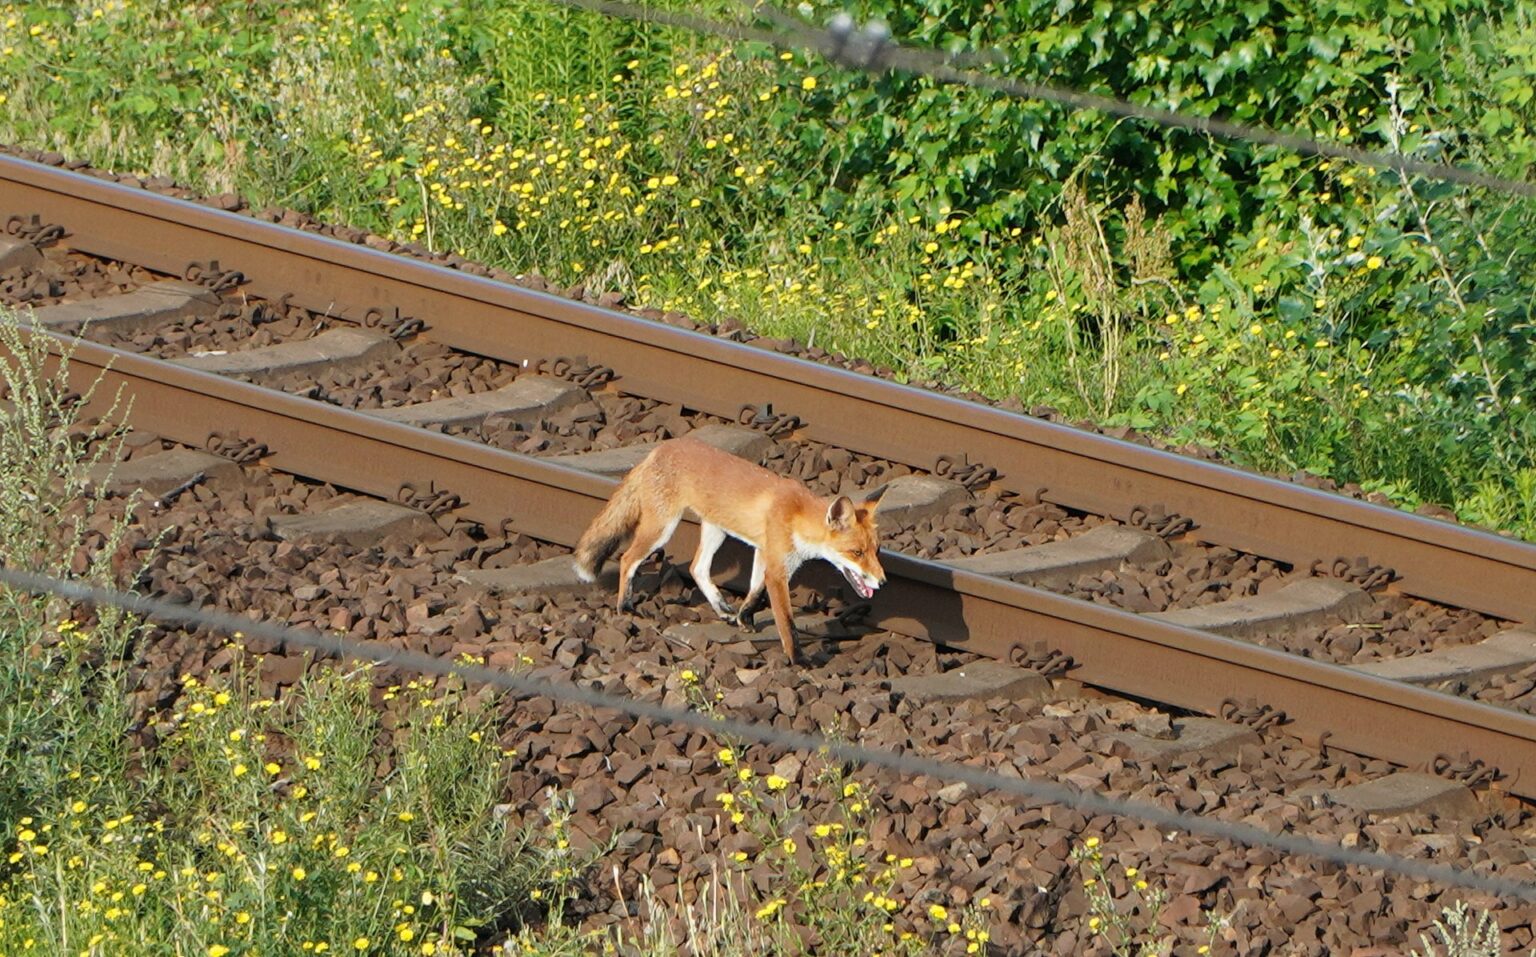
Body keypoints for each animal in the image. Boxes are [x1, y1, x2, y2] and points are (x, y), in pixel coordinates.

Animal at [572, 436, 888, 663]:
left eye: (876, 551)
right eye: (857, 553)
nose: (883, 582)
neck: (796, 514)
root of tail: (660, 448)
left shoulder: (765, 552)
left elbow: (754, 590)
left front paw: (743, 618)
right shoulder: (777, 568)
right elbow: (787, 622)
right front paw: (799, 660)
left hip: (716, 530)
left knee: (697, 568)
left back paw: (721, 607)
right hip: (662, 528)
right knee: (628, 558)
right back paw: (624, 606)